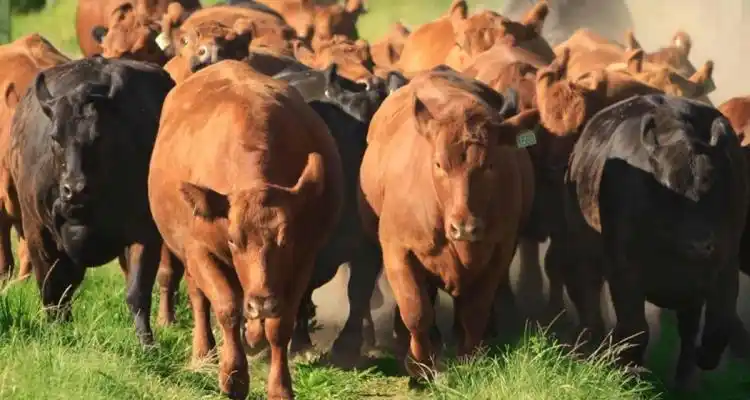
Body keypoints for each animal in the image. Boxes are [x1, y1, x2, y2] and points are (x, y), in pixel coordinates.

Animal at [7, 57, 175, 346]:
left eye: (99, 137)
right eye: (55, 137)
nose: (74, 190)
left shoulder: (145, 234)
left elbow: (137, 292)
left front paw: (147, 343)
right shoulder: (37, 231)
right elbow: (51, 289)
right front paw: (56, 333)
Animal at [148, 59, 343, 399]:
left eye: (286, 241)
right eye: (232, 240)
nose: (262, 302)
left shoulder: (302, 260)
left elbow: (281, 324)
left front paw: (279, 386)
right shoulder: (200, 251)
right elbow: (226, 307)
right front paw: (234, 376)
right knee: (200, 300)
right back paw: (204, 352)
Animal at [357, 66, 538, 382]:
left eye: (490, 165)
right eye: (439, 164)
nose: (464, 227)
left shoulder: (498, 253)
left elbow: (475, 311)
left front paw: (470, 359)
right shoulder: (397, 250)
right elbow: (415, 310)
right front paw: (419, 365)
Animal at [562, 93, 748, 390]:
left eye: (714, 187)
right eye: (669, 191)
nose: (700, 245)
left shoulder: (725, 265)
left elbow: (720, 325)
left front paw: (702, 358)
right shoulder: (624, 270)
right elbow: (635, 328)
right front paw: (627, 369)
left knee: (689, 328)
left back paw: (684, 379)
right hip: (582, 254)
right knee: (588, 300)